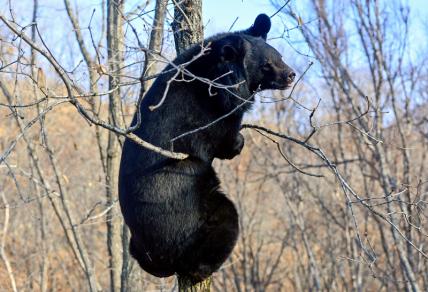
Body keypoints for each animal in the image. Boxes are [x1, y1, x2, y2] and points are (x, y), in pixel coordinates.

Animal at [118, 13, 296, 282]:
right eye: (267, 65)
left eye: (280, 57)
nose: (291, 75)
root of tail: (155, 256)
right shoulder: (213, 108)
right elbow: (222, 135)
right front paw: (237, 145)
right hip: (190, 214)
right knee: (226, 219)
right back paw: (202, 268)